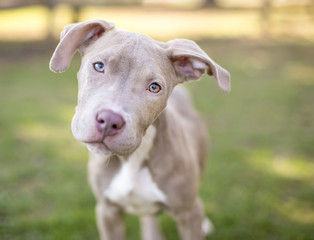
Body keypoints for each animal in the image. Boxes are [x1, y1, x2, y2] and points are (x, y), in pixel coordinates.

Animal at [49, 19, 231, 240]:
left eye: (154, 87)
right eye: (99, 66)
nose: (109, 120)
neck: (133, 159)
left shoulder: (188, 214)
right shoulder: (107, 211)